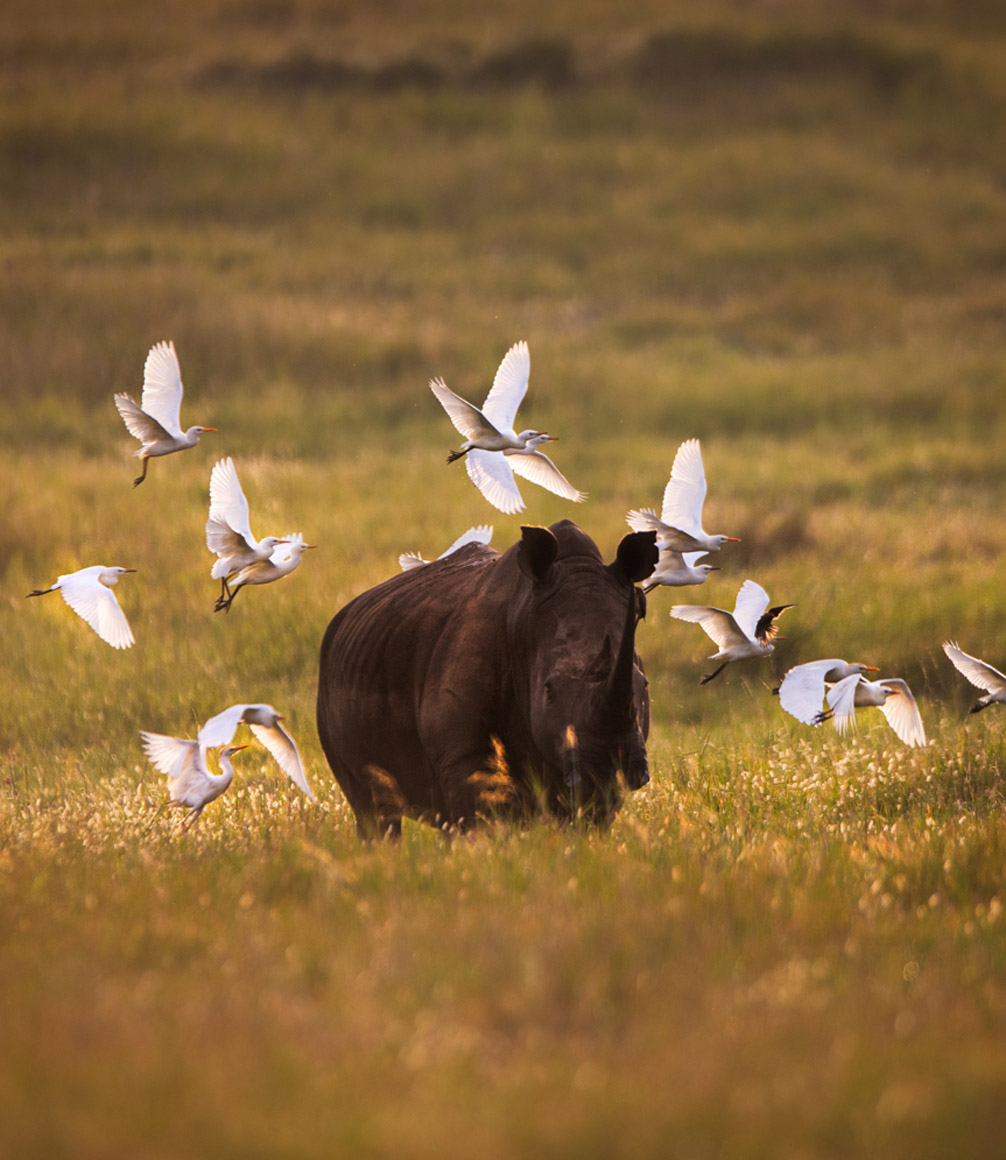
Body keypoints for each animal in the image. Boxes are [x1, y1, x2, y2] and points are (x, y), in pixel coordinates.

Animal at [316, 520, 658, 837]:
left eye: (644, 685)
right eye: (548, 689)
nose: (609, 762)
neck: (524, 618)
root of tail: (345, 612)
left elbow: (586, 819)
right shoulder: (465, 754)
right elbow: (482, 818)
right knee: (373, 810)